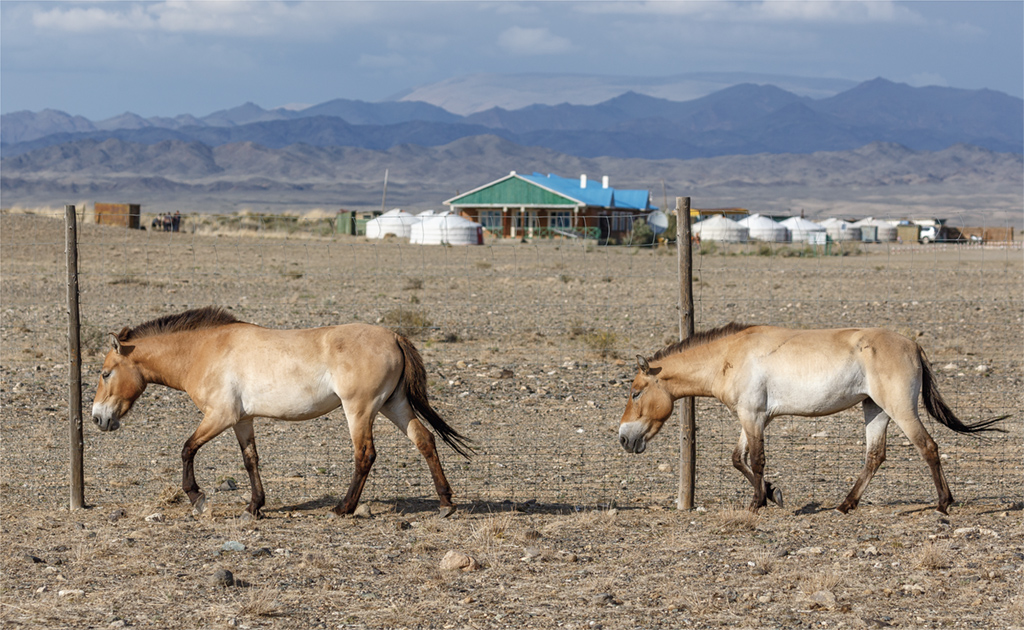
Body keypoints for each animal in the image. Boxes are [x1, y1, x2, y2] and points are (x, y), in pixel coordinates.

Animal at [92, 307, 471, 520]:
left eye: (105, 373)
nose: (98, 418)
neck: (202, 350)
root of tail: (393, 336)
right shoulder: (242, 420)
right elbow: (250, 460)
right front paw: (253, 508)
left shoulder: (220, 416)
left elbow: (187, 449)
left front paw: (198, 499)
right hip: (394, 405)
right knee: (425, 440)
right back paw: (445, 503)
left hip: (360, 409)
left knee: (365, 455)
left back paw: (343, 508)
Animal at [614, 323, 1007, 514]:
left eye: (635, 392)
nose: (623, 438)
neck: (729, 356)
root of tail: (913, 345)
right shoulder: (753, 417)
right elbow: (738, 459)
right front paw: (773, 494)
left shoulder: (752, 416)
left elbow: (756, 460)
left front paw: (758, 503)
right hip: (874, 409)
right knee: (875, 456)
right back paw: (846, 505)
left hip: (900, 409)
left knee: (928, 447)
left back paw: (943, 504)